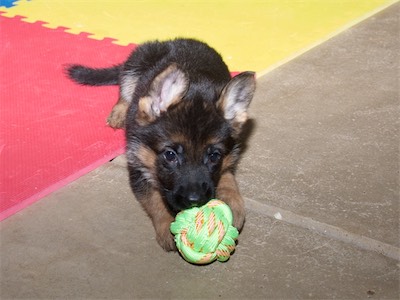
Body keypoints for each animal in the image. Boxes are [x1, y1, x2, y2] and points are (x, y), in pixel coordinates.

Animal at [65, 38, 253, 251]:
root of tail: (176, 40)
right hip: (133, 68)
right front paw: (166, 225)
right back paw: (119, 113)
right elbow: (155, 200)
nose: (195, 201)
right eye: (170, 155)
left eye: (214, 156)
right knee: (124, 92)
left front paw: (233, 202)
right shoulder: (138, 168)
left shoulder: (230, 156)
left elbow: (227, 177)